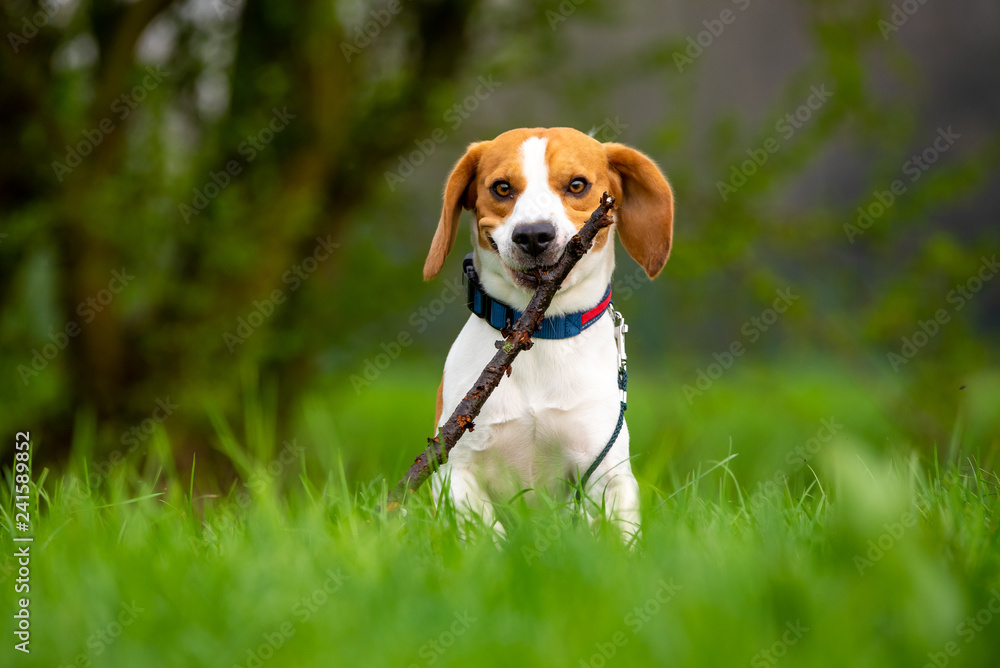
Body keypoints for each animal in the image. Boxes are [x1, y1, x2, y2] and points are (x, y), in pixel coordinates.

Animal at [422, 128, 672, 540]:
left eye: (577, 185)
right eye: (502, 187)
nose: (534, 235)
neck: (539, 334)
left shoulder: (606, 471)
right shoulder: (456, 469)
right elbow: (487, 533)